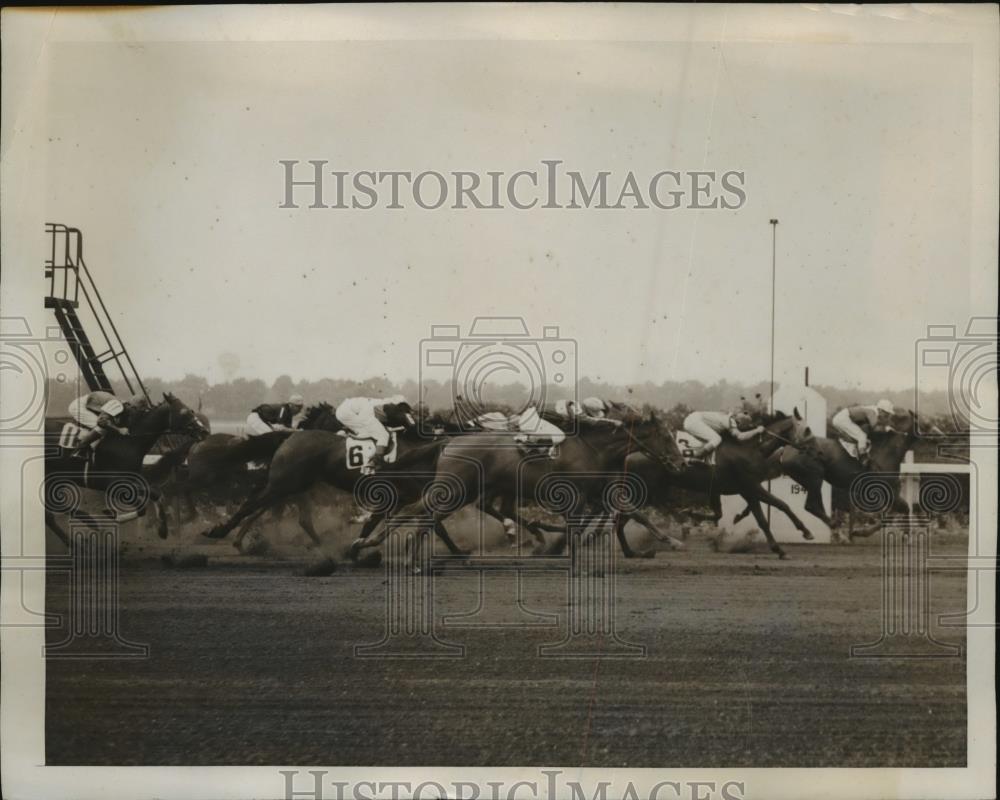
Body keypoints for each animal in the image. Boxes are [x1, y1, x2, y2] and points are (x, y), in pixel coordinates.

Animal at [44, 392, 206, 548]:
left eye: (192, 410)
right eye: (185, 412)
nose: (203, 431)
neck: (129, 441)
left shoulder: (132, 480)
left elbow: (153, 495)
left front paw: (162, 530)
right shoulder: (110, 483)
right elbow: (144, 502)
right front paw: (112, 514)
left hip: (53, 478)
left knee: (51, 512)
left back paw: (82, 533)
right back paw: (88, 527)